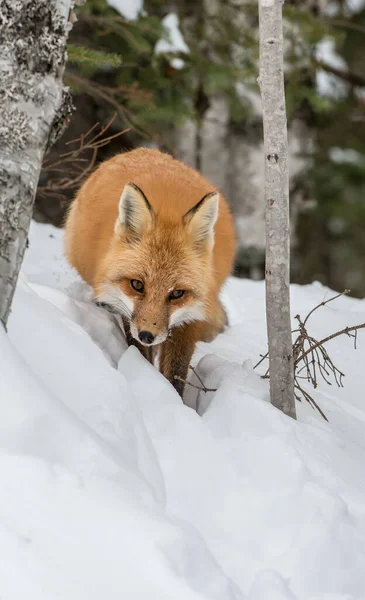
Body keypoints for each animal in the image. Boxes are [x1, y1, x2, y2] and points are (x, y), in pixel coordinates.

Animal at [64, 148, 236, 396]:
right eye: (137, 284)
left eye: (177, 293)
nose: (147, 335)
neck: (169, 207)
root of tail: (142, 150)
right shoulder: (128, 311)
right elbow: (140, 352)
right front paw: (149, 382)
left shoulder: (191, 316)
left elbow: (176, 372)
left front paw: (174, 400)